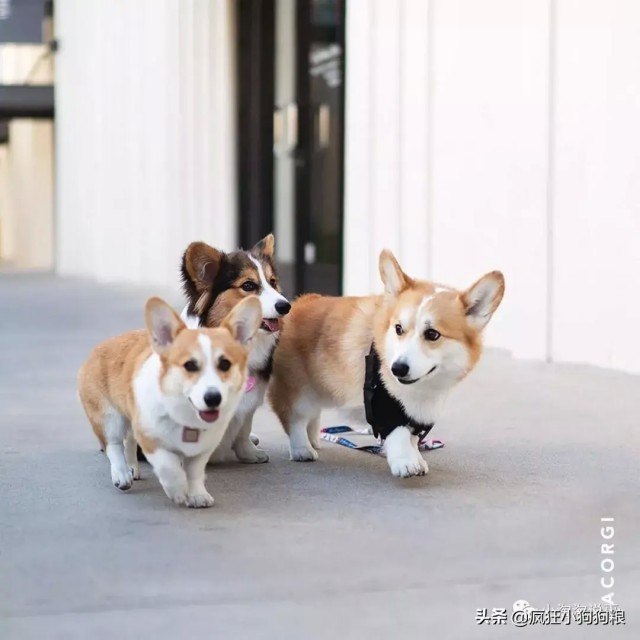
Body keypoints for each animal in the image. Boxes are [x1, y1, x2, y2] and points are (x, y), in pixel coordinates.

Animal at [78, 292, 262, 508]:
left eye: (225, 364)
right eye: (190, 365)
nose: (213, 398)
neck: (186, 417)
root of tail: (102, 345)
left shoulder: (203, 449)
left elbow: (195, 472)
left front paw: (197, 494)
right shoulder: (151, 440)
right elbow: (170, 468)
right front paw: (179, 491)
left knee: (129, 440)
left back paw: (132, 468)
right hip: (109, 418)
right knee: (113, 445)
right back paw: (122, 474)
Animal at [180, 232, 290, 462]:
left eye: (273, 282)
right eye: (248, 286)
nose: (286, 306)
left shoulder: (249, 401)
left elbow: (243, 428)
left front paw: (249, 453)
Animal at [266, 252, 504, 478]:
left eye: (432, 334)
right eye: (398, 328)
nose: (397, 368)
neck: (424, 388)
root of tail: (295, 305)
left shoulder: (413, 416)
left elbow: (411, 438)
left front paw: (417, 458)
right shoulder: (382, 405)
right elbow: (398, 434)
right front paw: (405, 462)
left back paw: (313, 439)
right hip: (297, 389)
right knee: (294, 417)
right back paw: (302, 449)